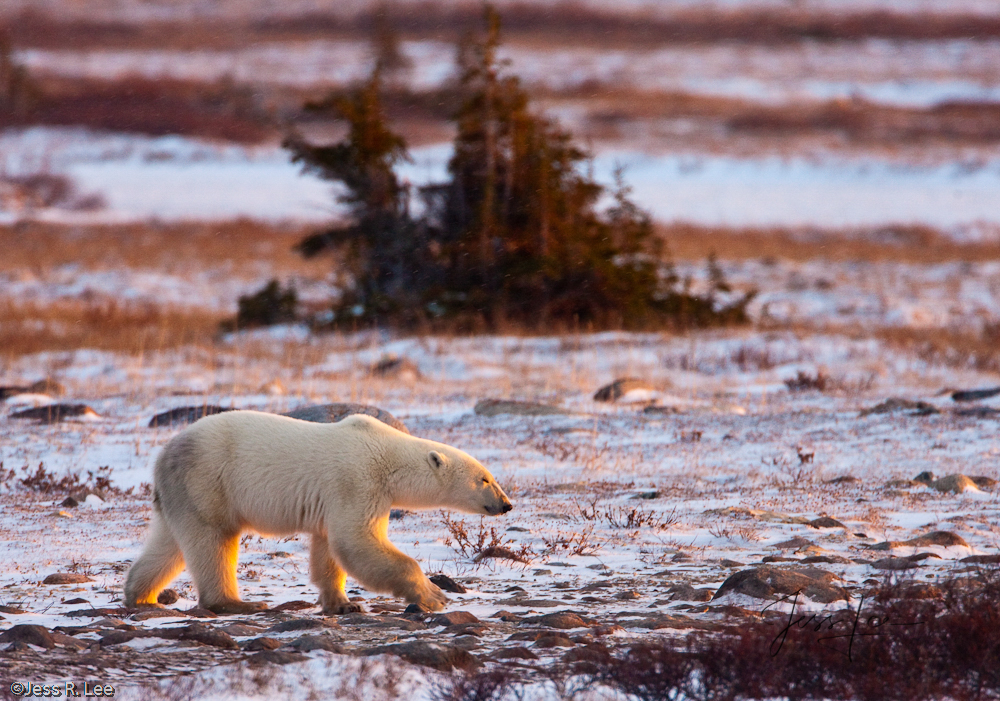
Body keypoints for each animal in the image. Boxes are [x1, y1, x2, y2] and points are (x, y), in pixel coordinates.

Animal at [124, 410, 512, 612]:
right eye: (485, 479)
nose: (507, 504)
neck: (387, 455)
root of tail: (163, 457)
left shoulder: (348, 497)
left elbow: (330, 547)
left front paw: (342, 604)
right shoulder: (358, 481)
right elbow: (357, 541)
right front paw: (434, 595)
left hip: (182, 493)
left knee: (169, 544)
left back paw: (140, 594)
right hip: (208, 482)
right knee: (214, 541)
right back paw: (237, 603)